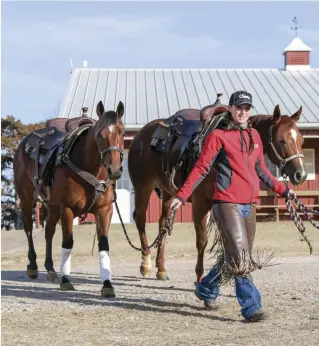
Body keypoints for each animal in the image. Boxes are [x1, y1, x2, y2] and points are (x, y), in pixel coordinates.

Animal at [14, 100, 126, 298]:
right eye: (100, 134)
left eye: (122, 132)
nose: (114, 169)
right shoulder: (67, 209)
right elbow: (67, 243)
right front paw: (66, 280)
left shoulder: (104, 211)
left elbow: (104, 245)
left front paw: (107, 284)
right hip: (27, 198)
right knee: (28, 229)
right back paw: (33, 266)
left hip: (52, 206)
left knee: (48, 232)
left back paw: (50, 268)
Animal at [127, 101, 308, 282]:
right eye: (282, 140)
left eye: (301, 140)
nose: (300, 174)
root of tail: (141, 135)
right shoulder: (201, 202)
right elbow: (202, 241)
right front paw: (200, 278)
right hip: (143, 187)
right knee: (140, 219)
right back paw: (146, 264)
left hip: (168, 192)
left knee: (163, 223)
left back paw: (161, 269)